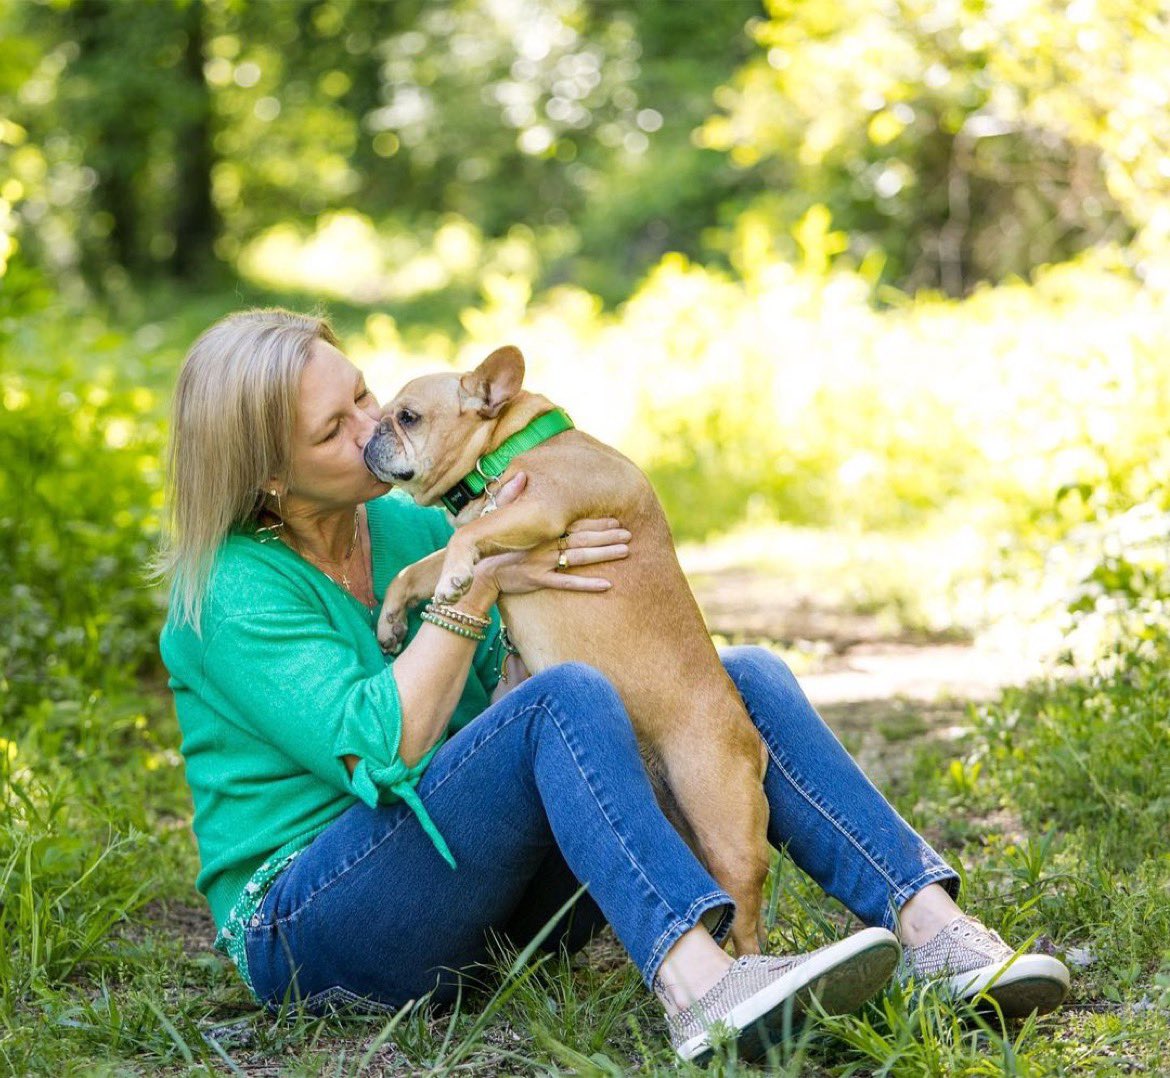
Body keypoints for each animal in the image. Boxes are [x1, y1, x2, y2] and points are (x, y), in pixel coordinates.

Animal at [360, 341, 772, 950]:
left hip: (727, 829)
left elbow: (462, 540)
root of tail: (752, 740)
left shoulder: (538, 510)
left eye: (407, 416)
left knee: (744, 918)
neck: (504, 453)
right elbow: (417, 570)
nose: (370, 434)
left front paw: (454, 574)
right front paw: (392, 620)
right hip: (684, 824)